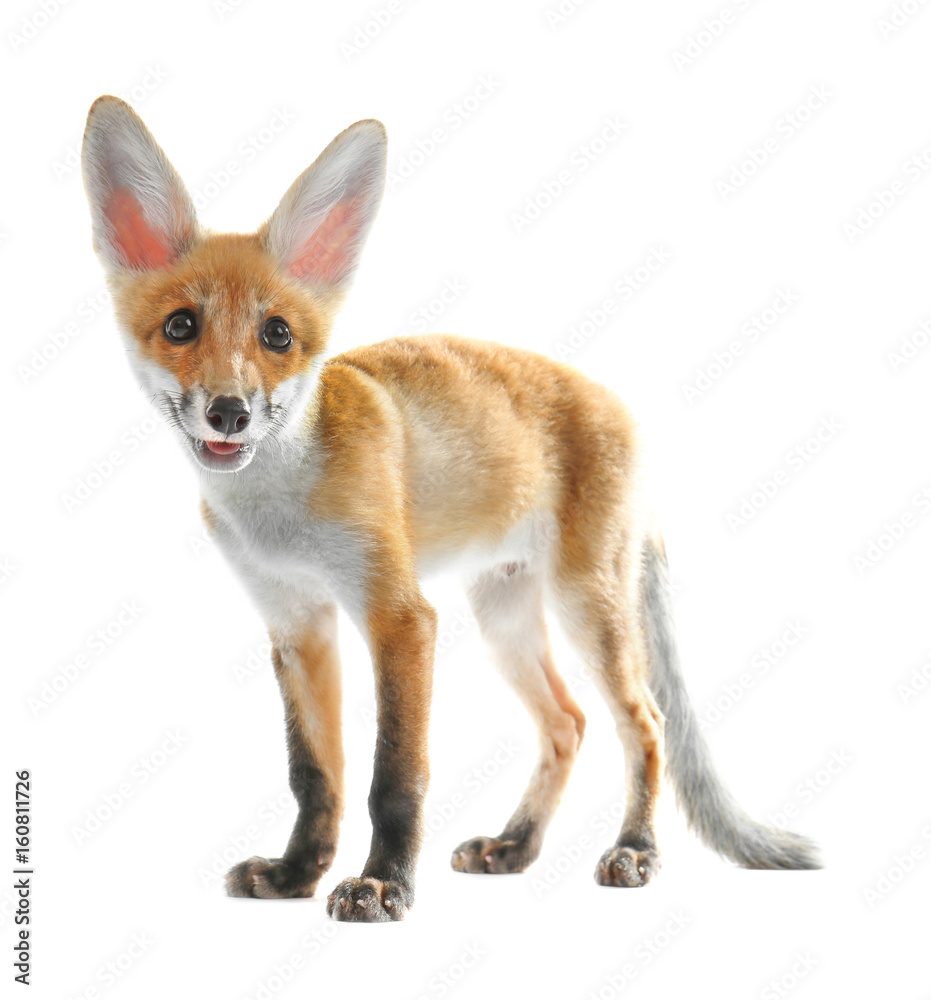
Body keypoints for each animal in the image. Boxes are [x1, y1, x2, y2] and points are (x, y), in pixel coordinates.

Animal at [81, 96, 820, 922]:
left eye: (277, 336)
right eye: (181, 326)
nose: (230, 413)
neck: (282, 512)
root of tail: (620, 409)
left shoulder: (399, 617)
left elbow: (393, 778)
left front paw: (382, 886)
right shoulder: (297, 626)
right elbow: (315, 776)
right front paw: (297, 875)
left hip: (585, 607)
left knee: (644, 723)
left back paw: (635, 850)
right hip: (503, 620)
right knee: (567, 724)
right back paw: (516, 846)